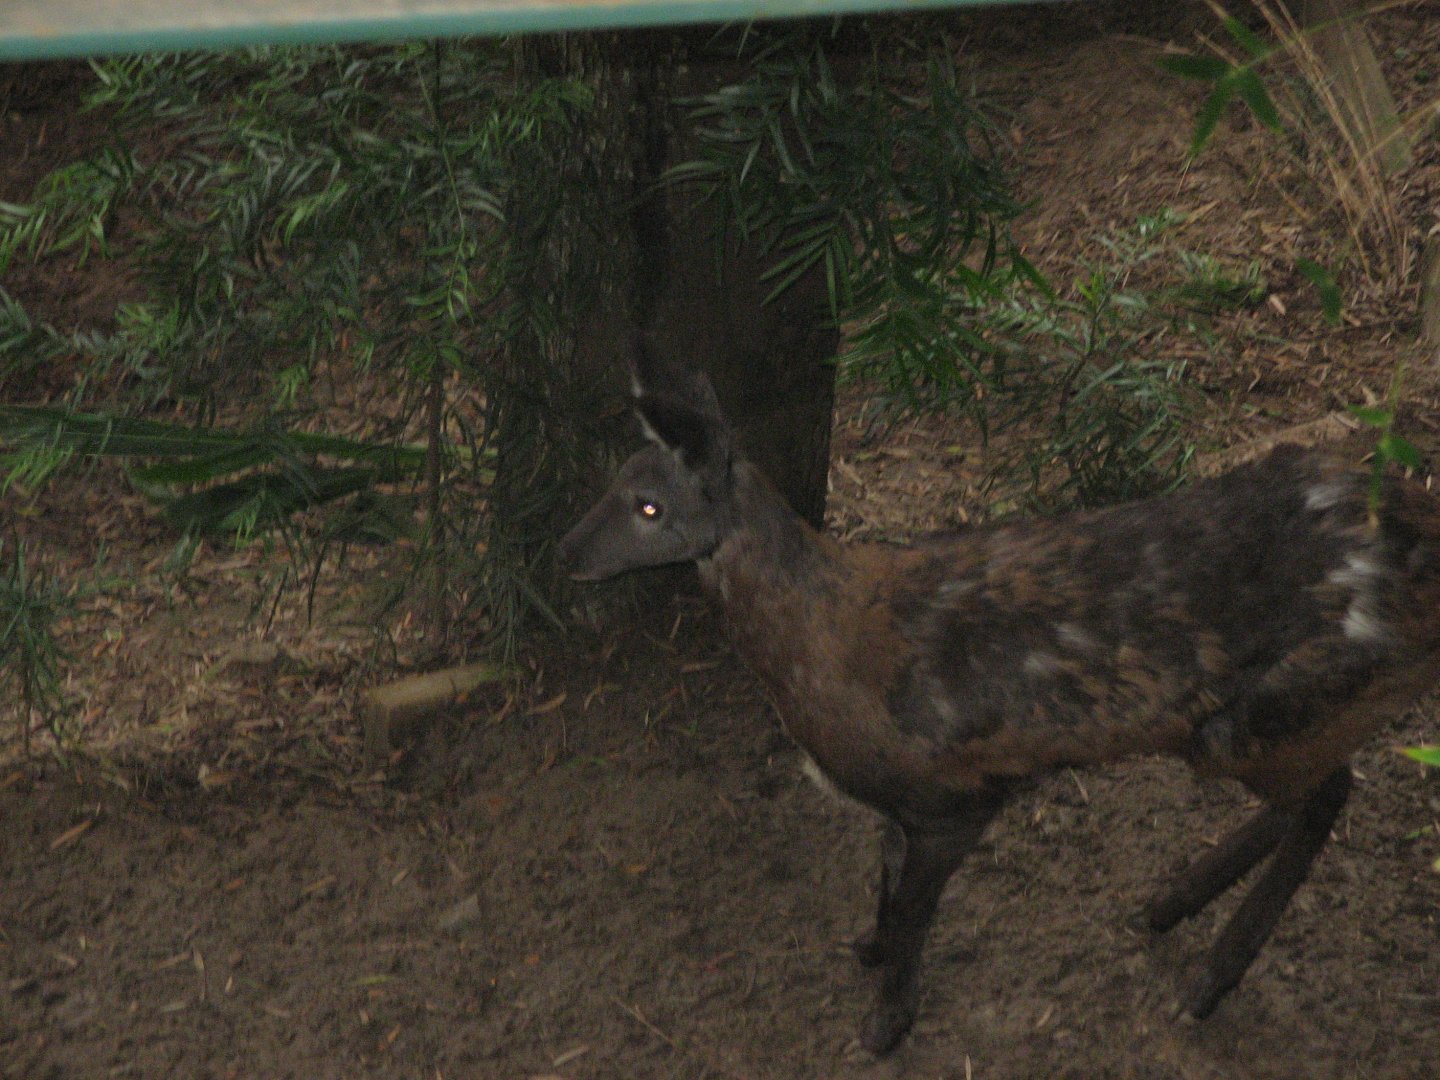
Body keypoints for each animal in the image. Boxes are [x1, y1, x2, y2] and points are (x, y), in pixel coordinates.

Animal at [555, 344, 1440, 1055]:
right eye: (611, 482)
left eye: (649, 507)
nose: (563, 553)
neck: (825, 645)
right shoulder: (899, 802)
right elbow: (886, 876)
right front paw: (869, 947)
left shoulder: (952, 789)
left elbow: (917, 905)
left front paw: (886, 1022)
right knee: (1311, 794)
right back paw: (1168, 905)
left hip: (1279, 706)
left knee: (1329, 792)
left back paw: (1209, 976)